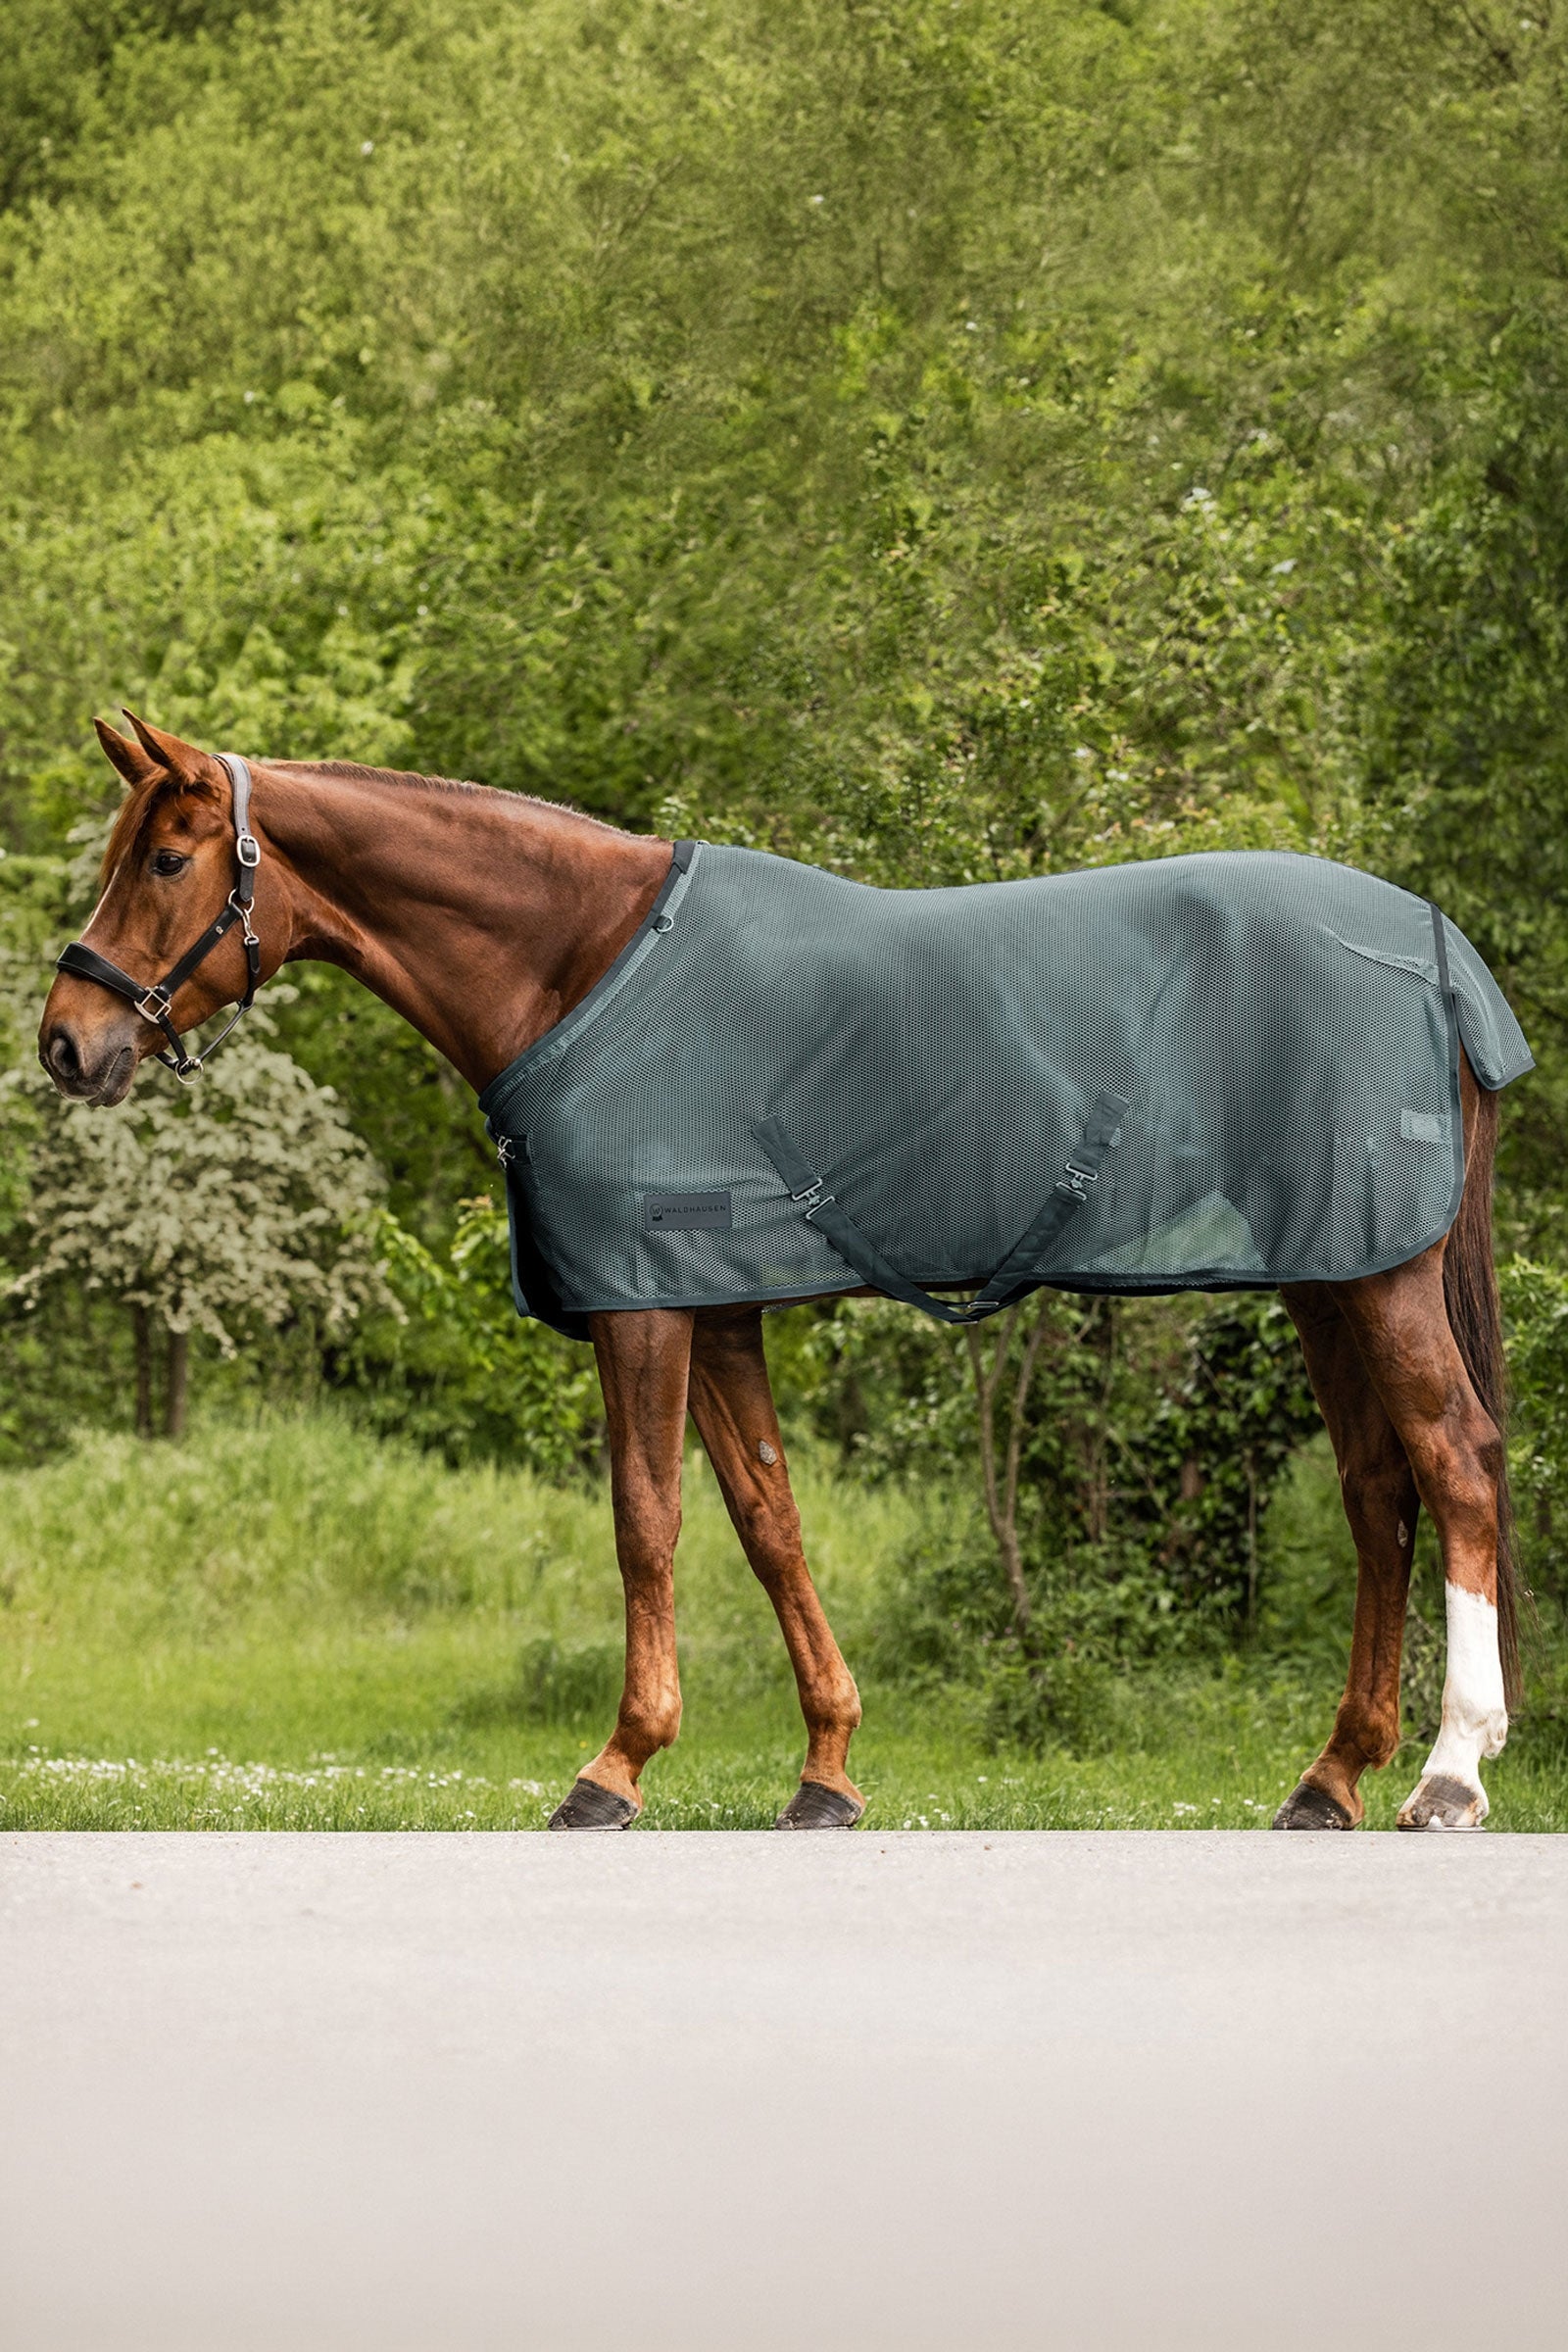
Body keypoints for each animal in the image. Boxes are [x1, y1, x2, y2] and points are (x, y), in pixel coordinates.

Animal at [38, 713, 1521, 1833]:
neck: (584, 965)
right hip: (1331, 1273)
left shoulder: (644, 1305)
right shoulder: (720, 1309)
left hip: (1377, 1278)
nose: (65, 1041)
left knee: (1453, 1463)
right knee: (1377, 1491)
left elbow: (646, 1521)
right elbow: (769, 1521)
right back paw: (1331, 1779)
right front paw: (826, 1771)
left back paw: (1449, 1773)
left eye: (164, 857)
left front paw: (616, 1767)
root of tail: (1437, 950)